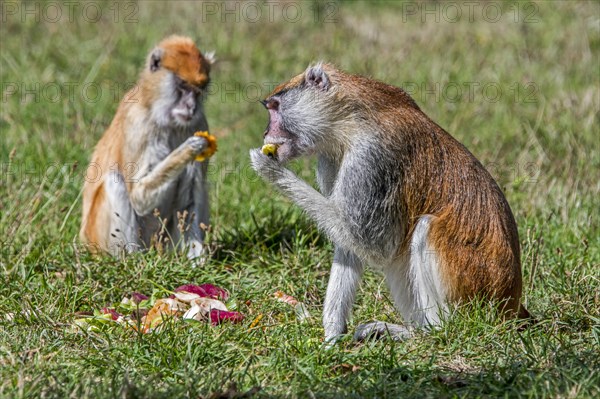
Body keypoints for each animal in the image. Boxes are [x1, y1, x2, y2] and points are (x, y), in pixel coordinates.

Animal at [81, 34, 214, 260]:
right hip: (98, 239)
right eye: (183, 86)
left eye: (198, 90)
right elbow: (139, 197)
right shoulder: (139, 125)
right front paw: (188, 149)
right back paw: (130, 259)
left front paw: (197, 260)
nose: (191, 107)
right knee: (115, 181)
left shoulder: (199, 123)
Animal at [251, 63, 532, 344]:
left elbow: (373, 245)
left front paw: (267, 167)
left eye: (275, 107)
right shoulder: (331, 157)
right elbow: (350, 243)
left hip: (477, 289)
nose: (265, 133)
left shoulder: (372, 156)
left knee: (424, 229)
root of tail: (511, 304)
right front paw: (331, 337)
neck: (347, 120)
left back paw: (434, 332)